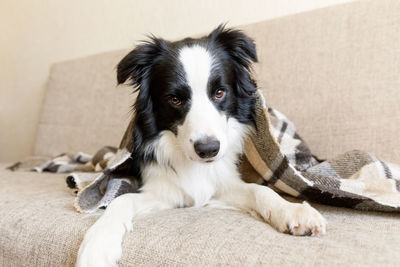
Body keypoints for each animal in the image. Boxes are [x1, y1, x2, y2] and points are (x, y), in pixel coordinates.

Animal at [76, 24, 326, 266]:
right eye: (175, 99)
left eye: (219, 92)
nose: (208, 150)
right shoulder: (163, 190)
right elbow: (121, 200)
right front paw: (97, 245)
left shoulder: (221, 183)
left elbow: (260, 190)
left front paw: (292, 211)